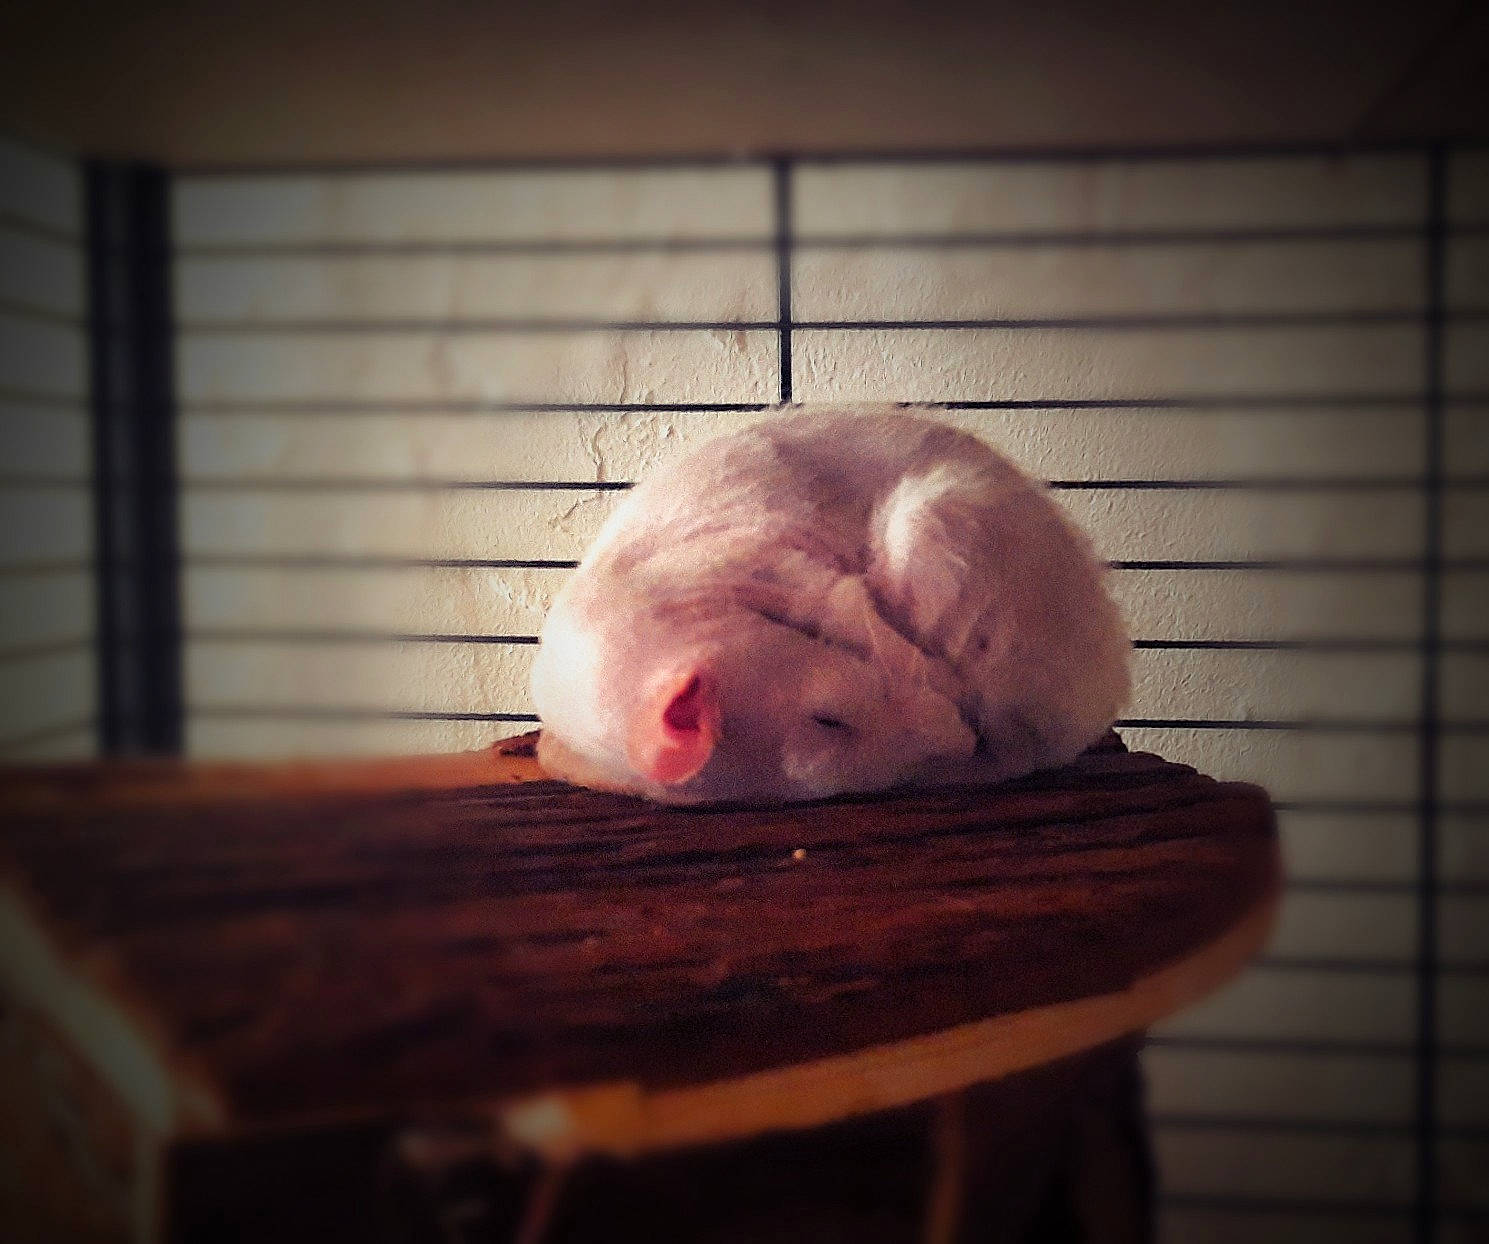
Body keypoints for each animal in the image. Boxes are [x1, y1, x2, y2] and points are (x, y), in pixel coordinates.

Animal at [529, 405, 1130, 805]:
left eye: (828, 720)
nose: (957, 737)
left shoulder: (765, 559)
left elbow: (848, 605)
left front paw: (938, 684)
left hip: (940, 527)